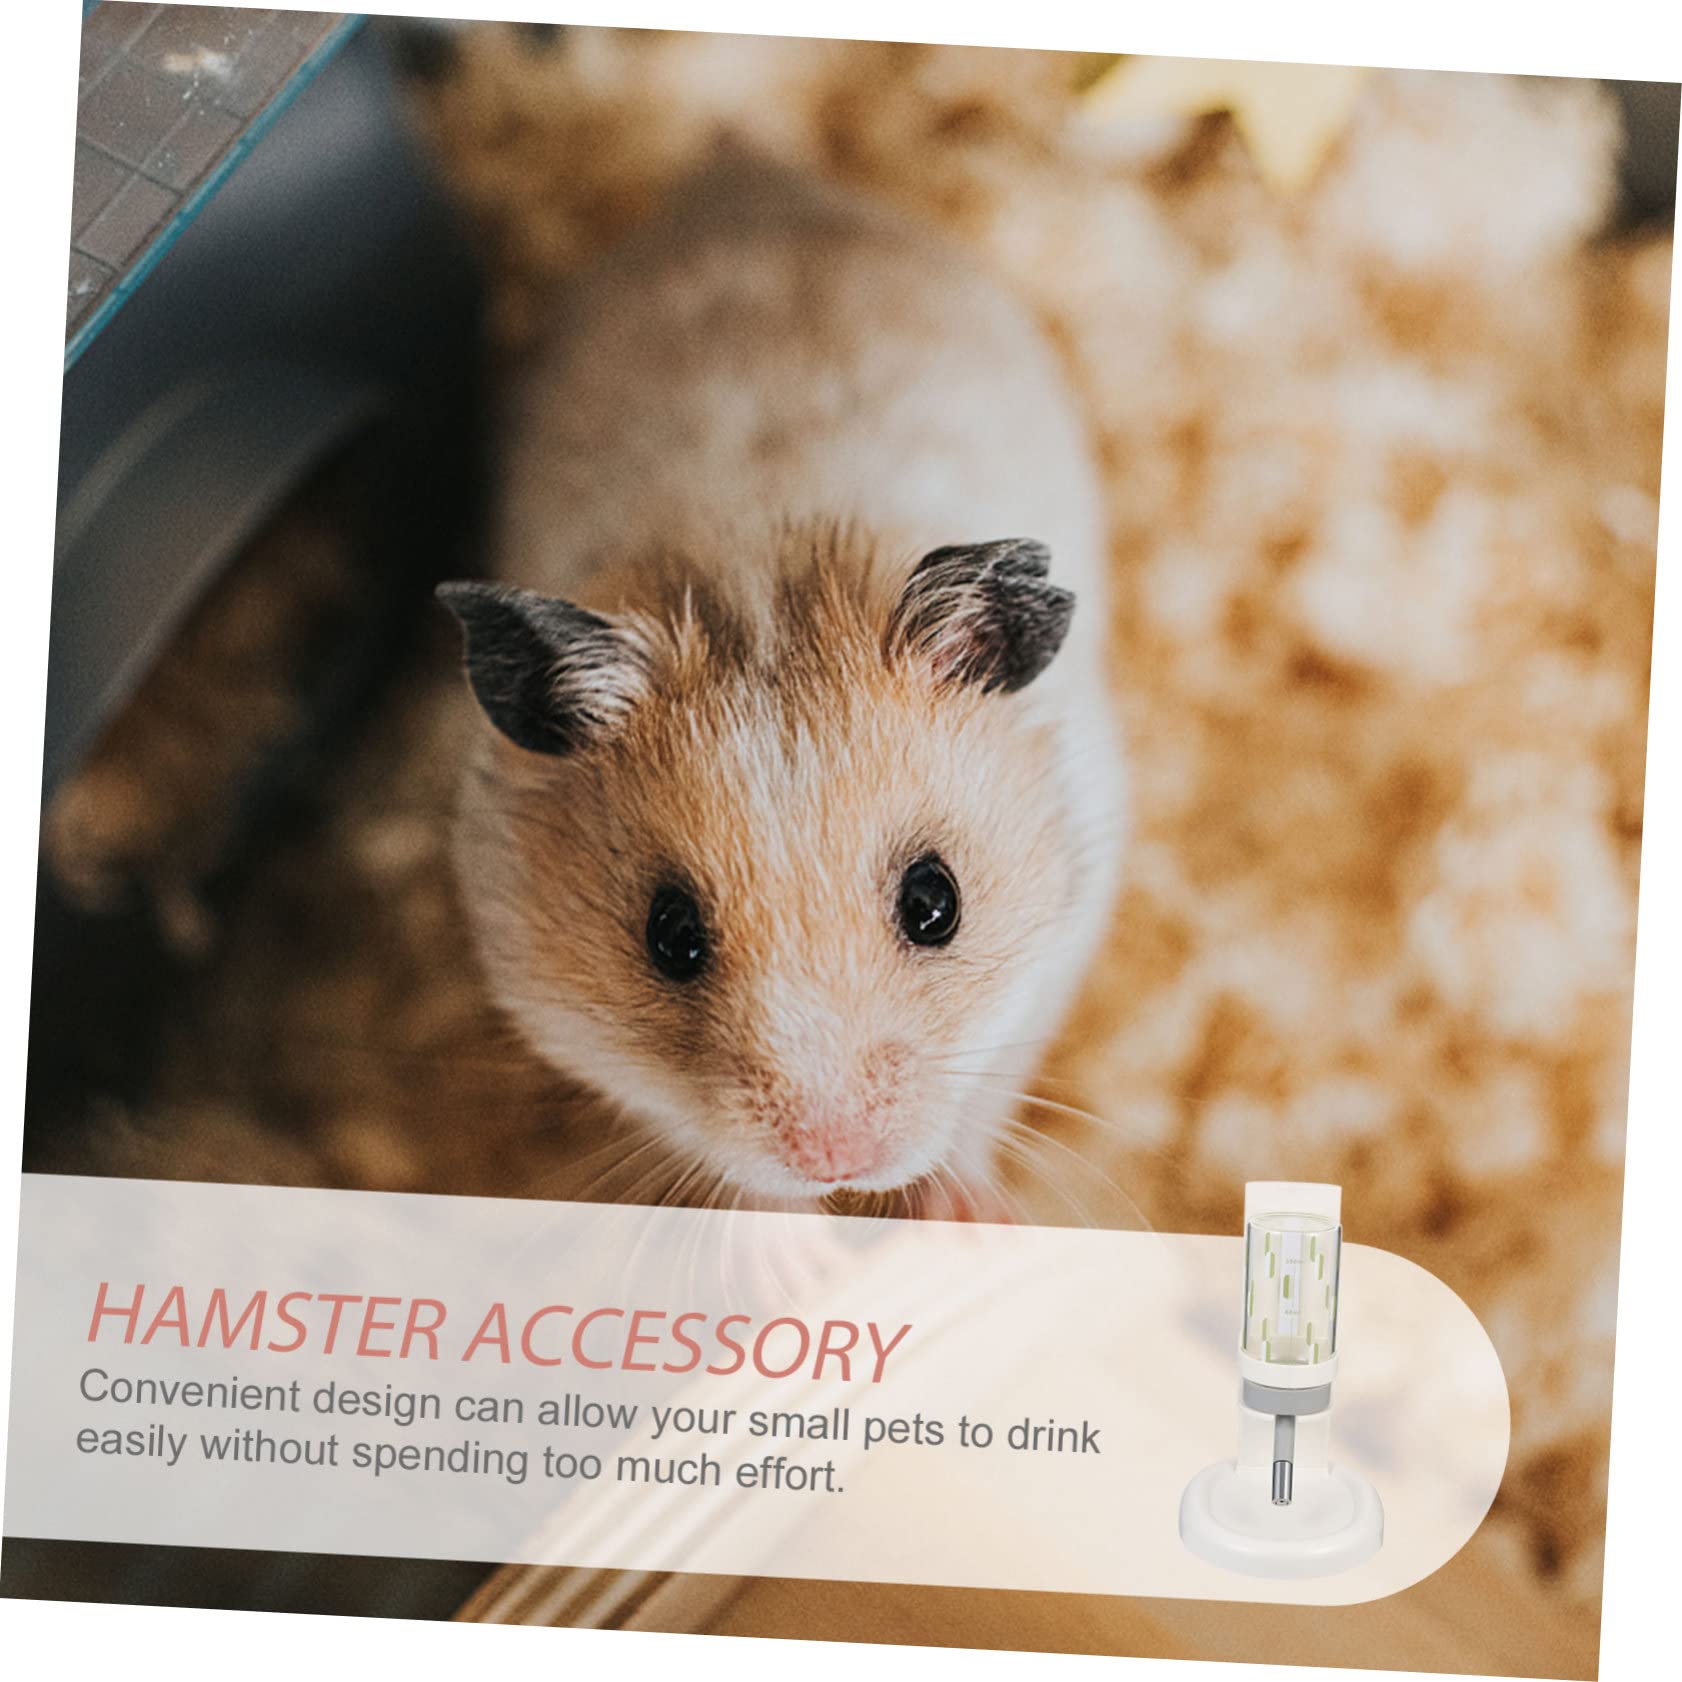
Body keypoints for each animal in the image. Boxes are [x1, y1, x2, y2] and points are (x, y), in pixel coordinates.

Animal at [439, 151, 1127, 1215]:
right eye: (669, 936)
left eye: (936, 903)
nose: (834, 1159)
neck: (758, 583)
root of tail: (742, 167)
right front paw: (786, 1251)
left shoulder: (1061, 940)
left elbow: (982, 1100)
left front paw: (966, 1219)